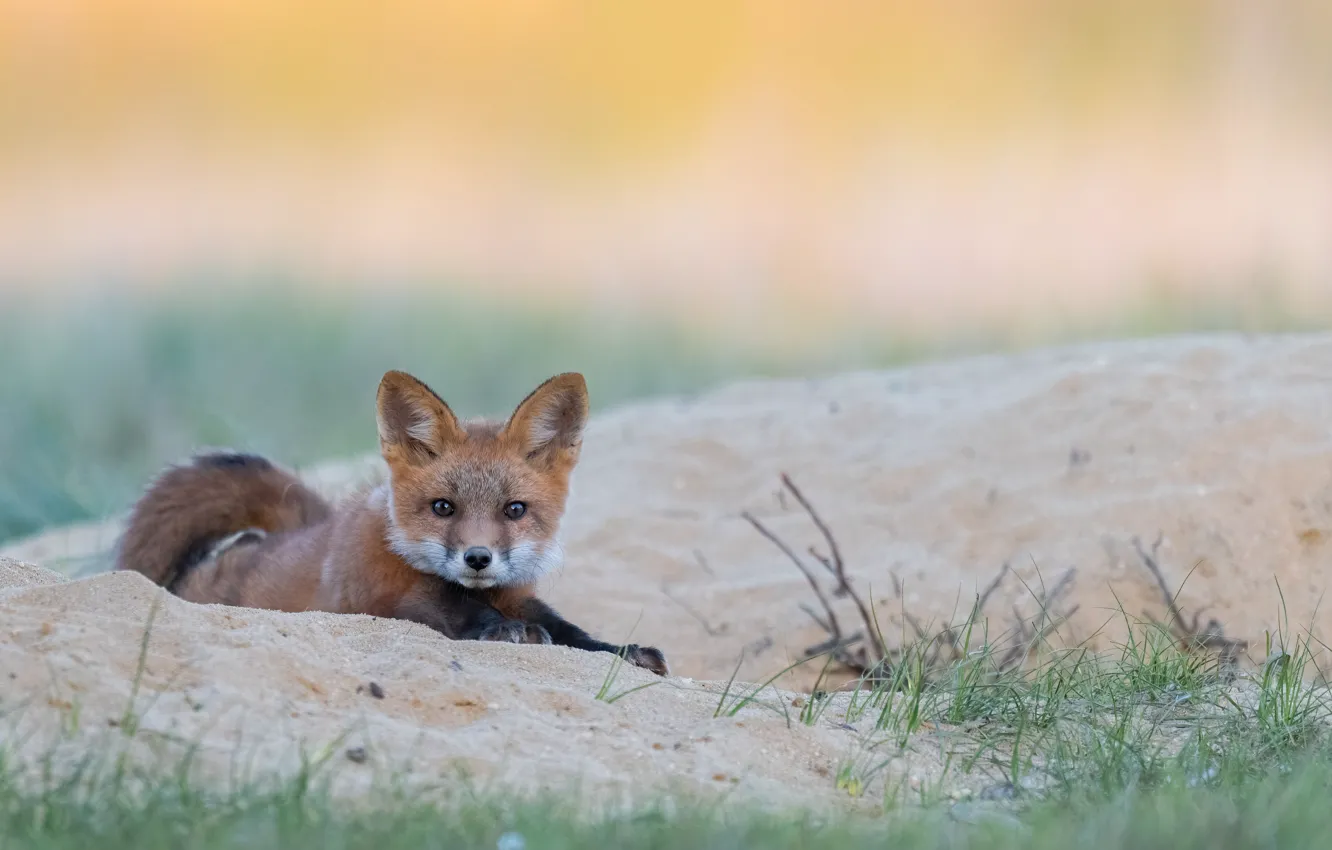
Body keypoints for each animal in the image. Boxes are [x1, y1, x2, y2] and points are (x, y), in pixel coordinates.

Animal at [114, 370, 669, 676]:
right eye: (443, 507)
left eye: (515, 510)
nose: (478, 558)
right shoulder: (382, 593)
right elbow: (449, 606)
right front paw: (501, 629)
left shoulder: (518, 593)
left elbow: (573, 632)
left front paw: (624, 650)